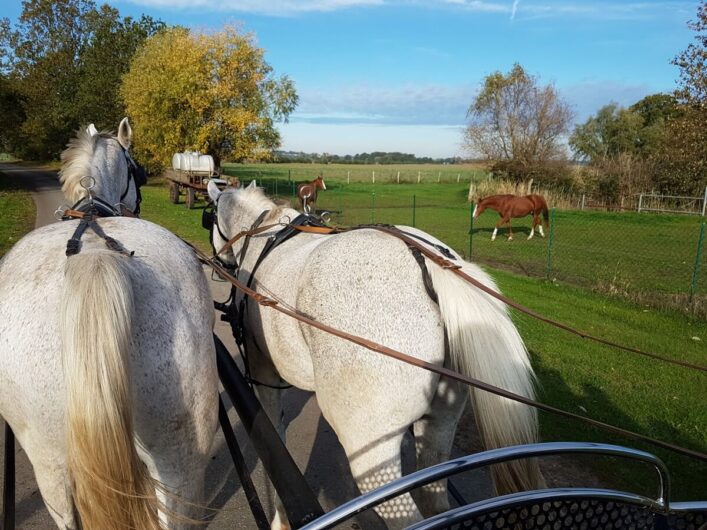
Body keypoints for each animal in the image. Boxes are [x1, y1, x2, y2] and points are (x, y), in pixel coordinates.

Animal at [207, 182, 544, 528]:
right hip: (440, 421)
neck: (265, 235)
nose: (219, 263)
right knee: (434, 498)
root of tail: (432, 263)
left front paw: (280, 519)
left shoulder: (263, 371)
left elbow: (273, 432)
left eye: (210, 219)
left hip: (370, 448)